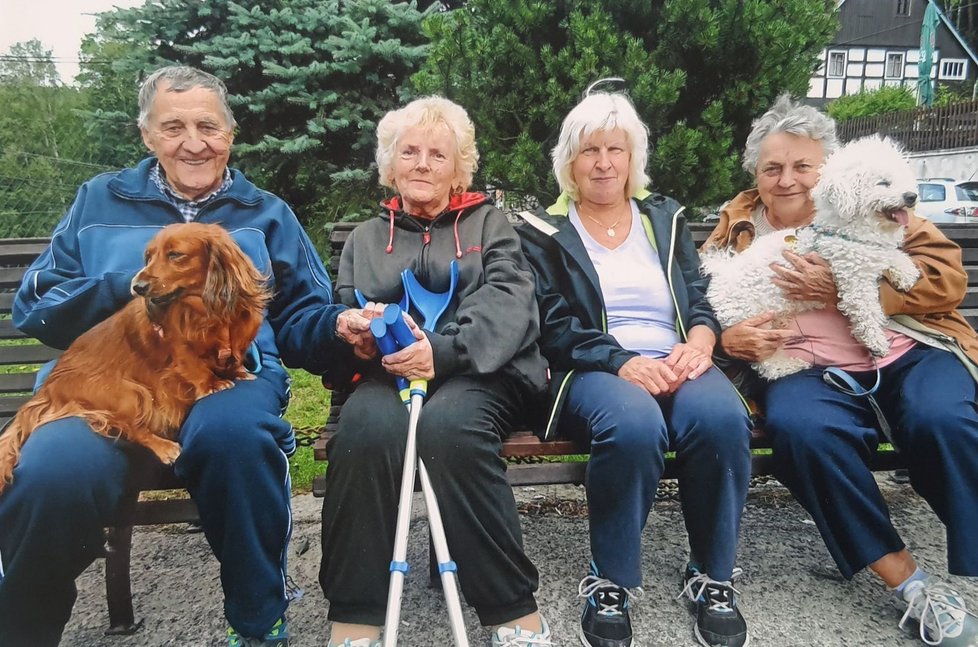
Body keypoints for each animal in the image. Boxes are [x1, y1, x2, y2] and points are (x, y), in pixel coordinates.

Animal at [704, 137, 920, 380]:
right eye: (883, 183)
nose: (912, 196)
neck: (845, 232)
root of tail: (720, 272)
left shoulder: (872, 252)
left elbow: (892, 254)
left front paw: (906, 273)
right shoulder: (855, 282)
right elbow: (867, 311)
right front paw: (876, 342)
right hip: (754, 324)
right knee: (765, 362)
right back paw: (788, 366)